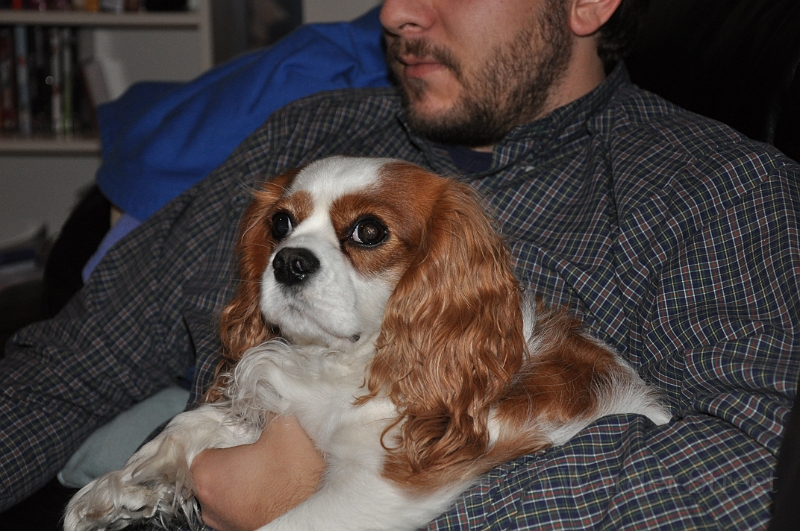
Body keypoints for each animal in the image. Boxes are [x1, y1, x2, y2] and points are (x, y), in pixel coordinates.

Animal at [65, 156, 671, 531]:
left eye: (369, 231)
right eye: (280, 223)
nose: (288, 260)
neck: (346, 364)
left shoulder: (382, 489)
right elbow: (193, 421)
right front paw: (126, 485)